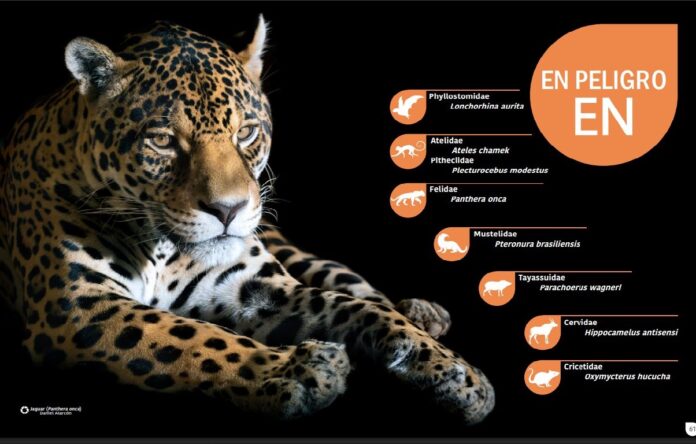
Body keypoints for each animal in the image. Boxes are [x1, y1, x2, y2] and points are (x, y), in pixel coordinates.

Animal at [0, 17, 494, 424]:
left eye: (247, 132)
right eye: (162, 141)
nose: (228, 210)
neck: (163, 249)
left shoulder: (258, 289)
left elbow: (353, 306)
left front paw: (454, 372)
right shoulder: (79, 305)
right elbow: (195, 337)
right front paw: (301, 370)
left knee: (355, 285)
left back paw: (423, 315)